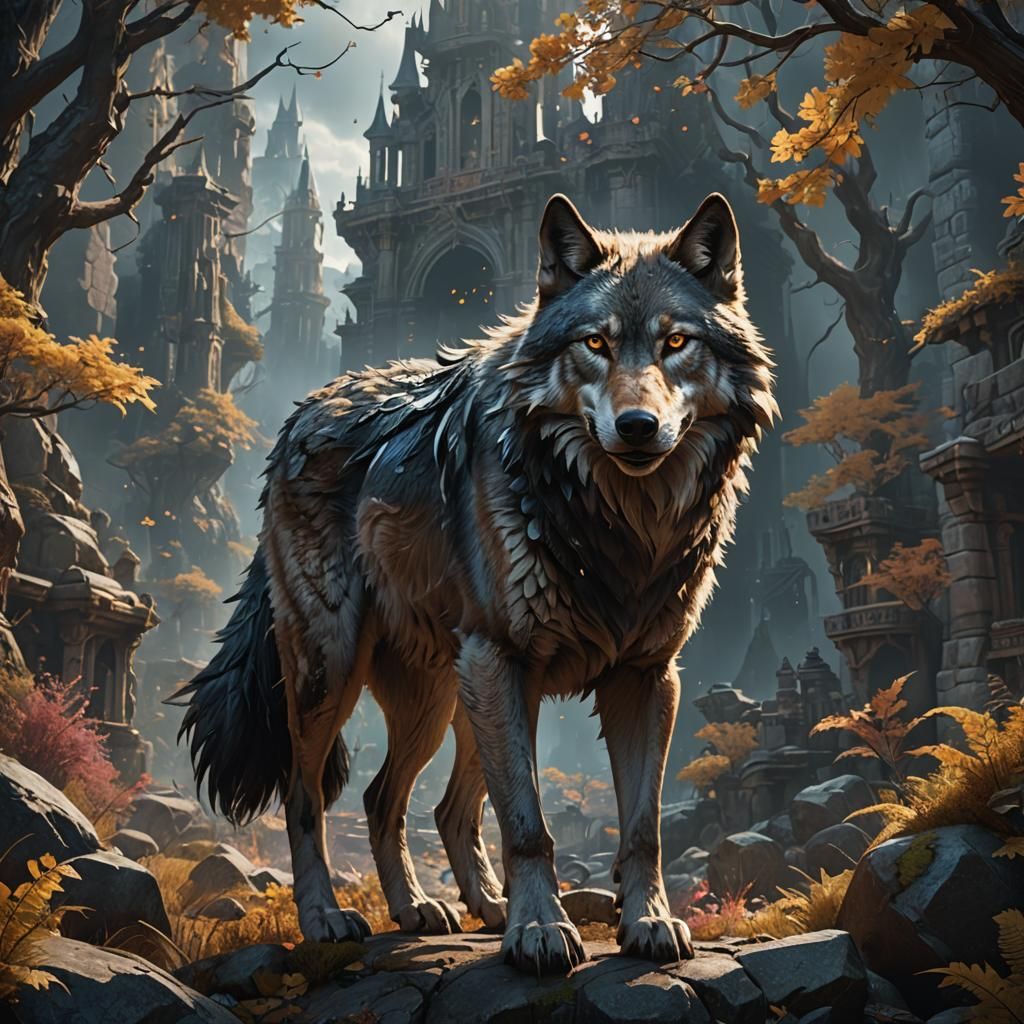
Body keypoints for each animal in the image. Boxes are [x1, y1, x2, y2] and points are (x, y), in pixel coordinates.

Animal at [174, 191, 776, 975]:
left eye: (675, 342)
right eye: (595, 343)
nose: (638, 426)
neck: (617, 525)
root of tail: (305, 410)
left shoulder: (646, 675)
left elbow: (642, 827)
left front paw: (647, 923)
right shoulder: (502, 659)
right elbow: (527, 823)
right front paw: (541, 930)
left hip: (450, 696)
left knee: (401, 801)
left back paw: (453, 907)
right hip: (339, 672)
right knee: (309, 798)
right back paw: (328, 917)